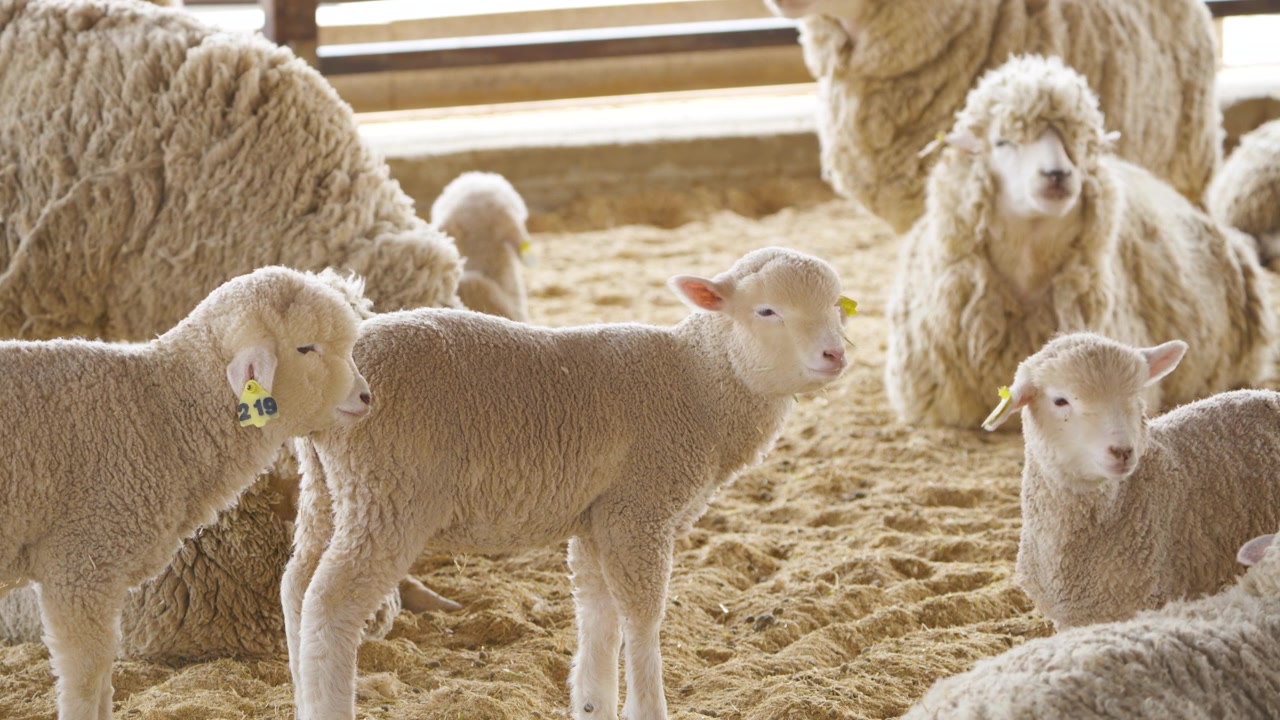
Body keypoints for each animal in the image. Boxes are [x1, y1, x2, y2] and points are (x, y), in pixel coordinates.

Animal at [0, 266, 371, 720]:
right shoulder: (81, 565)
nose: (365, 396)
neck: (162, 413)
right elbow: (86, 681)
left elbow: (104, 682)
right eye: (305, 347)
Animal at [280, 247, 853, 720]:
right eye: (767, 311)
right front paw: (647, 709)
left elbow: (599, 613)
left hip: (329, 489)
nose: (835, 355)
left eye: (836, 306)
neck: (698, 384)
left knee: (296, 586)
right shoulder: (639, 509)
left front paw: (593, 703)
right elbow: (642, 616)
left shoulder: (599, 516)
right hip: (391, 488)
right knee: (331, 603)